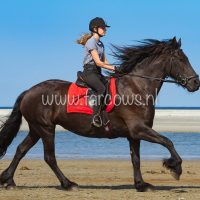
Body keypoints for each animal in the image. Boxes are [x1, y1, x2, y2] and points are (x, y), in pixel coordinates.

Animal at [0, 36, 198, 191]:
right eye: (181, 59)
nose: (196, 83)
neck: (136, 88)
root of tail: (28, 91)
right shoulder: (139, 129)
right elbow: (168, 141)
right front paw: (175, 168)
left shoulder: (133, 135)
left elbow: (136, 159)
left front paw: (141, 185)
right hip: (46, 129)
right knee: (49, 157)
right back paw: (68, 184)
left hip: (36, 129)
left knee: (20, 150)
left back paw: (8, 181)